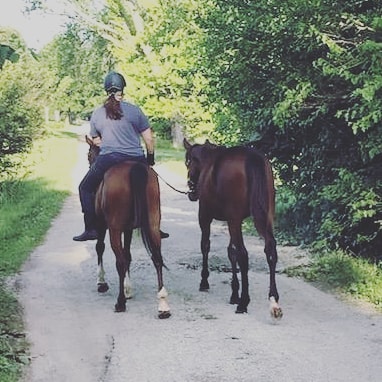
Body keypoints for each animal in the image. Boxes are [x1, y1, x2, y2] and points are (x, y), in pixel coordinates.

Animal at [86, 136, 172, 318]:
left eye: (88, 154)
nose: (90, 164)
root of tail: (134, 169)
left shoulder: (103, 225)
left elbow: (100, 247)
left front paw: (102, 282)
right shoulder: (128, 229)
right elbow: (128, 255)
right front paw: (128, 289)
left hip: (114, 229)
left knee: (119, 261)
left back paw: (120, 303)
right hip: (153, 223)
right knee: (157, 258)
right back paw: (163, 305)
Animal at [184, 138, 282, 320]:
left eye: (188, 161)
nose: (191, 187)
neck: (209, 164)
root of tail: (252, 157)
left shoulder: (205, 217)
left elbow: (206, 246)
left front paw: (204, 281)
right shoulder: (233, 221)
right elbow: (231, 252)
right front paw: (234, 293)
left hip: (233, 220)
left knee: (244, 254)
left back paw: (244, 302)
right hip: (265, 216)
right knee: (270, 248)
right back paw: (273, 299)